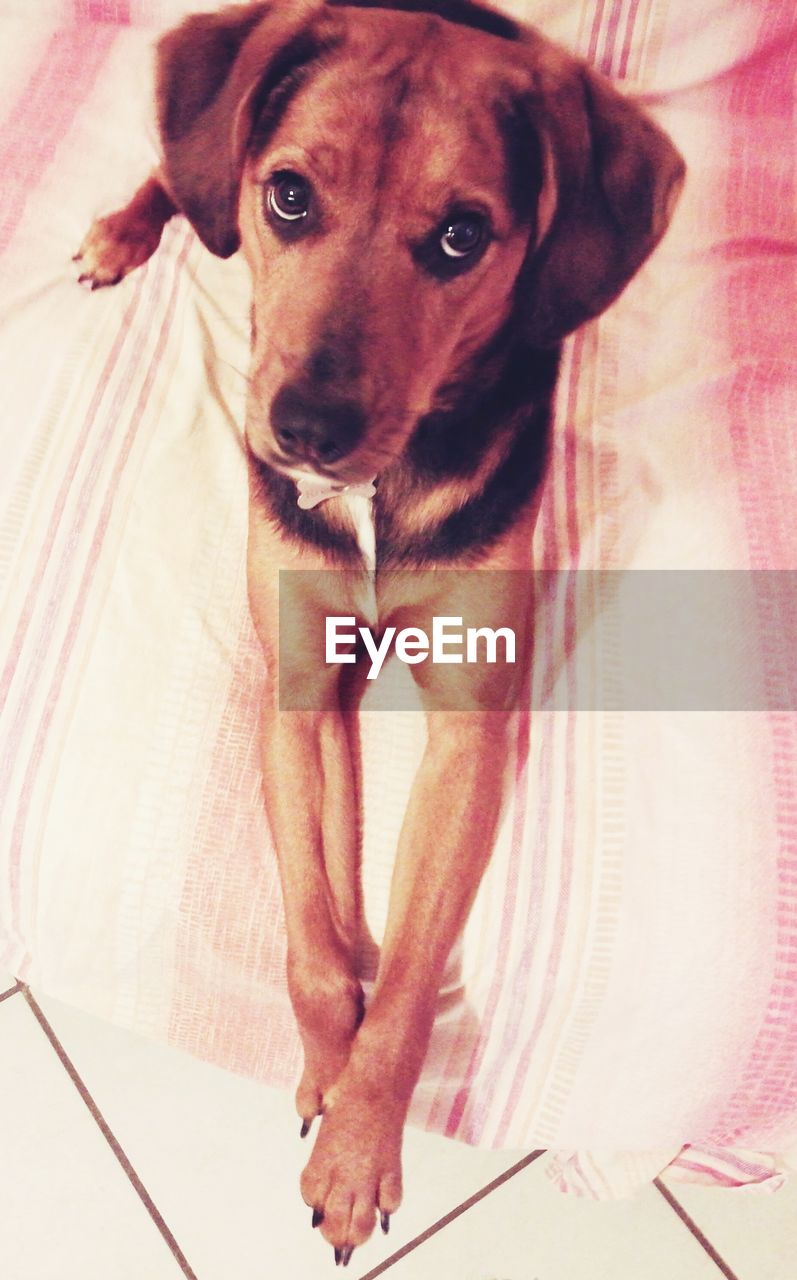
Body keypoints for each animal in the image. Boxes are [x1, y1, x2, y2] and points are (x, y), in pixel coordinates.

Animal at [76, 0, 685, 1259]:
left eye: (460, 236)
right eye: (289, 196)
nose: (305, 427)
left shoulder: (466, 728)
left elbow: (402, 983)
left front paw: (359, 1143)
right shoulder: (297, 688)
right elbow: (313, 946)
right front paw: (325, 1068)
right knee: (184, 177)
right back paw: (119, 231)